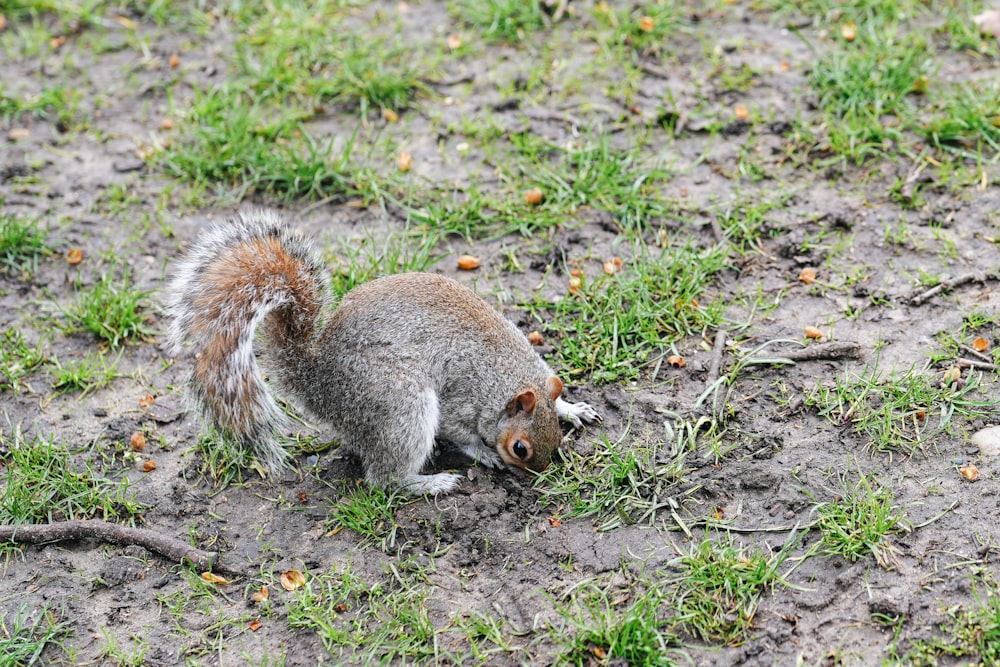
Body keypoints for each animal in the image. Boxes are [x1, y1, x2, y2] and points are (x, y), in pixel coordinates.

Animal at [167, 210, 596, 496]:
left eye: (556, 439)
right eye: (520, 449)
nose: (536, 475)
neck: (509, 374)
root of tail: (318, 384)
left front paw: (572, 409)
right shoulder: (461, 399)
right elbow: (460, 432)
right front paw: (483, 453)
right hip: (400, 405)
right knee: (384, 479)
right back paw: (431, 483)